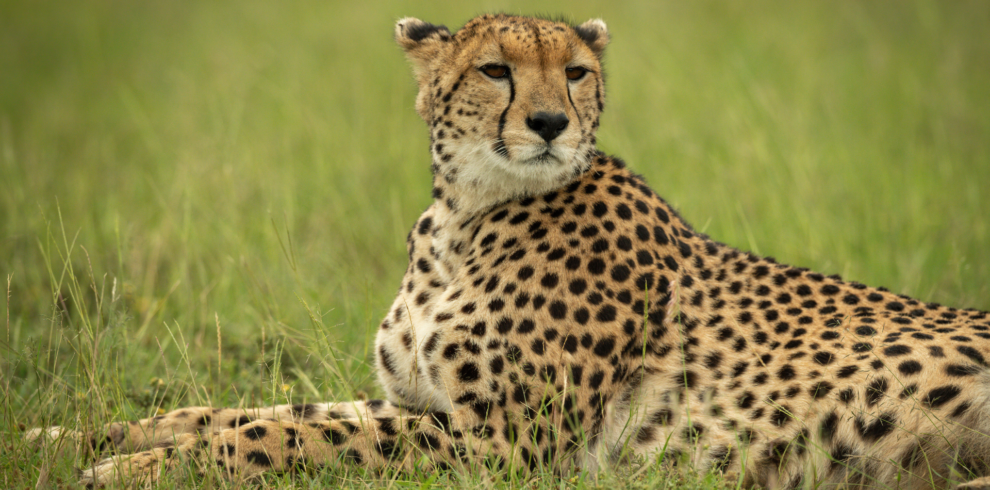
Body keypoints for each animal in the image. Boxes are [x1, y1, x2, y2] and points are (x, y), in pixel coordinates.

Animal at [27, 13, 990, 488]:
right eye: (496, 70)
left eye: (576, 72)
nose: (552, 122)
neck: (465, 216)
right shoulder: (423, 405)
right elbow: (242, 410)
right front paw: (70, 437)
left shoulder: (502, 448)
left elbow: (282, 435)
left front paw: (135, 470)